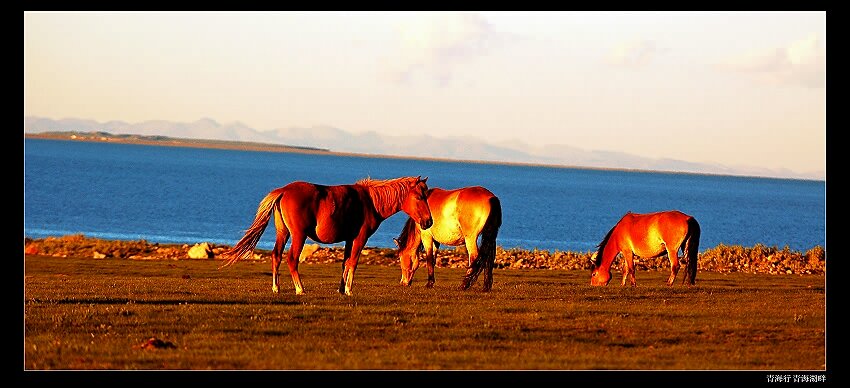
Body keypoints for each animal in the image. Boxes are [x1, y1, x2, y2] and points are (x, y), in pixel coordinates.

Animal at [220, 177, 430, 296]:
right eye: (420, 197)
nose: (429, 221)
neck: (370, 201)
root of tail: (283, 191)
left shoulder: (349, 239)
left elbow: (345, 263)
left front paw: (341, 289)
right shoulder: (360, 238)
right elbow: (353, 262)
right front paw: (349, 290)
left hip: (283, 232)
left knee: (276, 256)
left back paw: (276, 288)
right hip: (298, 235)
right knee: (292, 259)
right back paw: (300, 289)